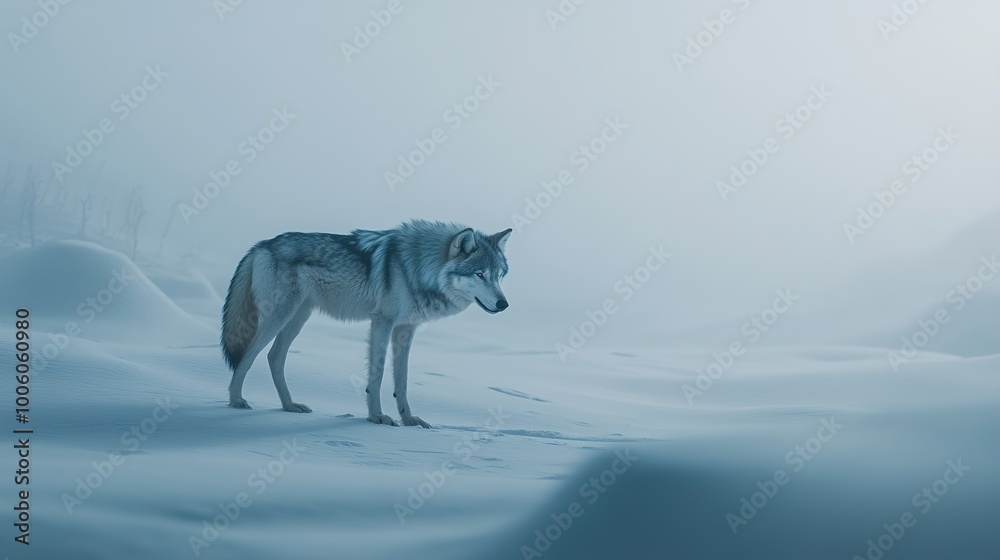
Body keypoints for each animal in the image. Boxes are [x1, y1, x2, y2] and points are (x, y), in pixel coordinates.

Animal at [221, 220, 512, 428]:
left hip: (298, 317)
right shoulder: (383, 322)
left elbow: (402, 381)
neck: (418, 268)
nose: (504, 304)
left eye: (499, 276)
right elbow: (378, 373)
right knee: (249, 354)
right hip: (280, 316)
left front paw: (409, 420)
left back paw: (290, 406)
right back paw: (236, 401)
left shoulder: (406, 330)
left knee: (274, 357)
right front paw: (377, 417)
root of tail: (261, 244)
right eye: (479, 274)